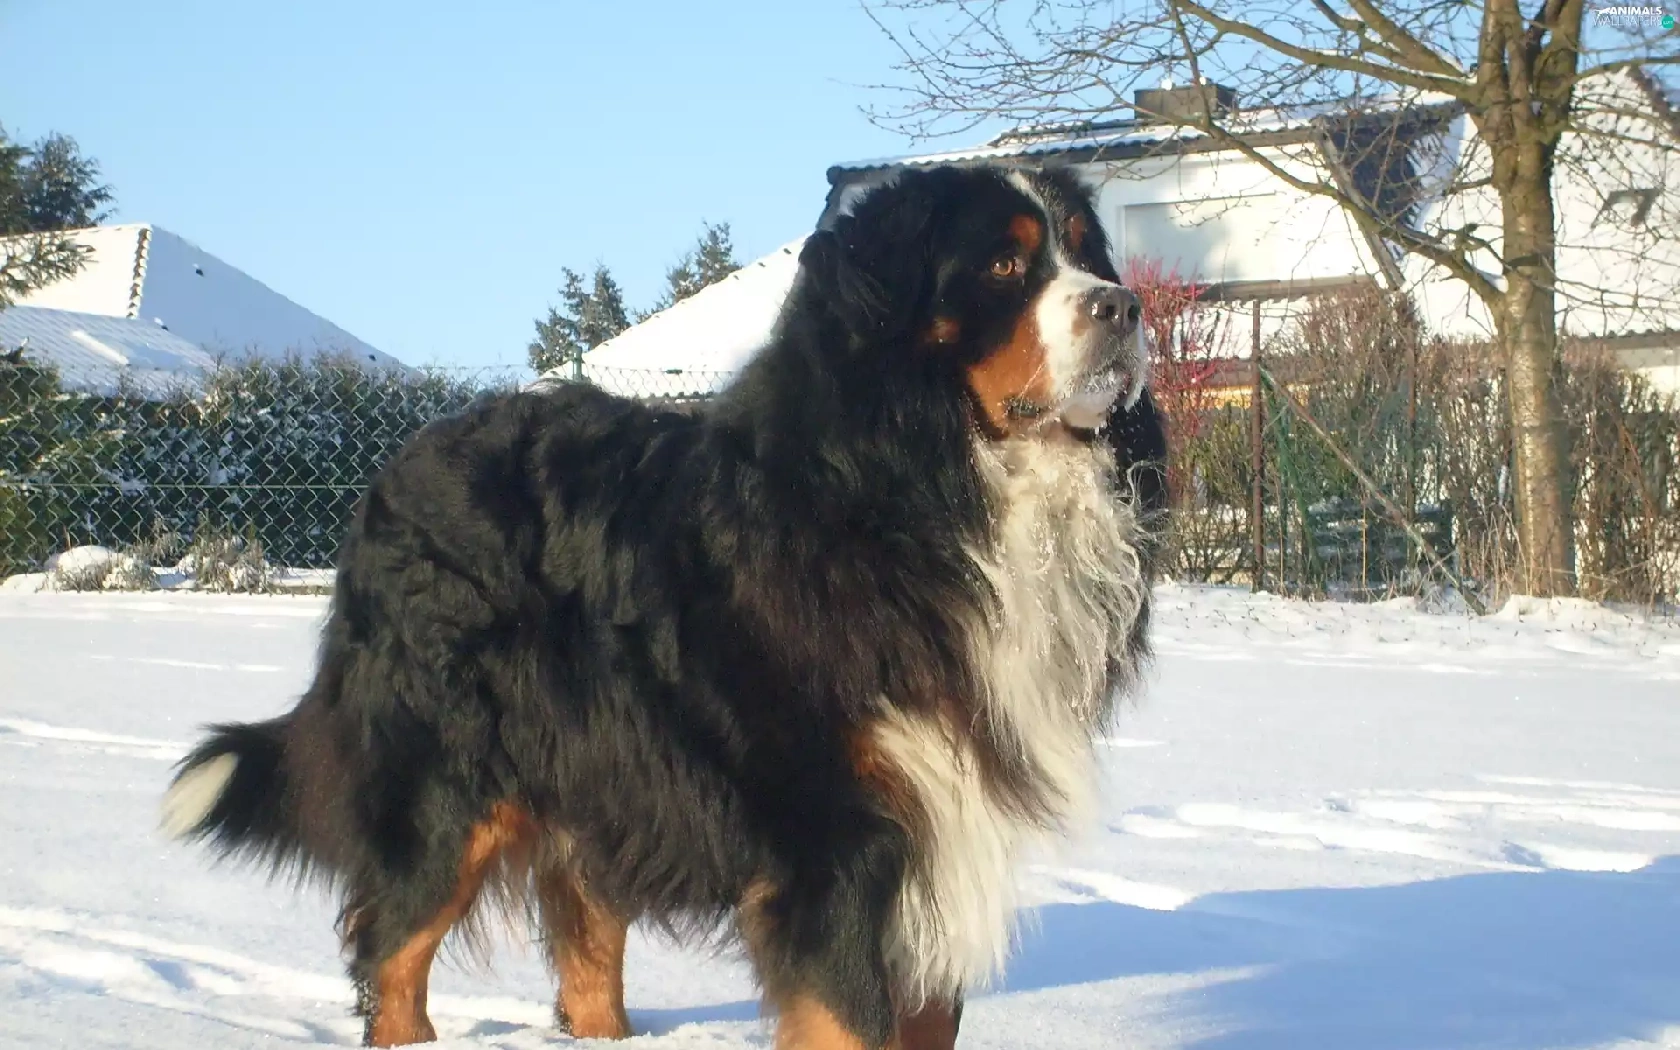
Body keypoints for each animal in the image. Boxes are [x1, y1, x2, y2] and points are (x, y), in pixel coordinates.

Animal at [161, 163, 1168, 1050]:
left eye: (1089, 253)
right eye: (1002, 265)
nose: (1123, 309)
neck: (929, 487)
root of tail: (398, 466)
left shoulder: (943, 824)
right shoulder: (836, 837)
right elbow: (850, 1015)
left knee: (585, 939)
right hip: (448, 780)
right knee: (396, 954)